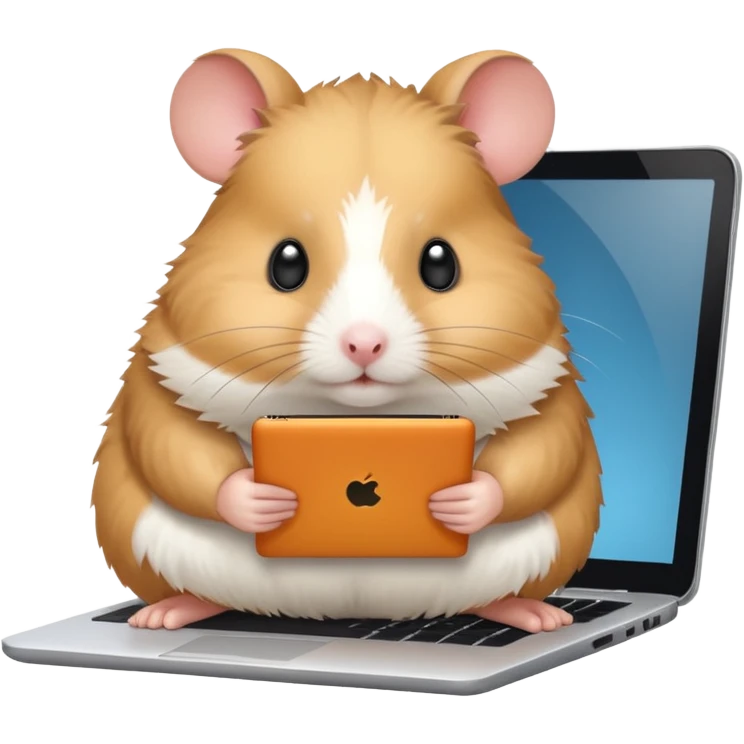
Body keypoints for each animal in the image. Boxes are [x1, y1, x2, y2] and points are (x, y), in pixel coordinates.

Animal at [90, 48, 602, 634]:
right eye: (285, 263)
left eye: (441, 263)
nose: (364, 345)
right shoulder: (160, 372)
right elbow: (174, 445)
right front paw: (263, 499)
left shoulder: (549, 382)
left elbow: (539, 452)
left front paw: (459, 500)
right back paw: (165, 614)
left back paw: (538, 616)